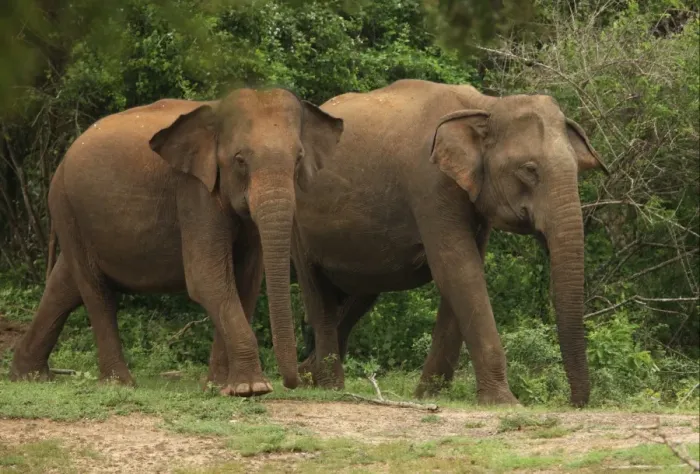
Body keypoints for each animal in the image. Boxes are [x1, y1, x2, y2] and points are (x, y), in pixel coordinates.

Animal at [10, 87, 344, 397]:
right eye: (240, 160)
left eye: (299, 159)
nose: (293, 382)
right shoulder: (194, 190)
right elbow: (206, 278)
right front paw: (252, 388)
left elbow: (245, 282)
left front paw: (221, 387)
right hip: (67, 206)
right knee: (96, 291)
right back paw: (120, 383)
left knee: (64, 286)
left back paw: (28, 376)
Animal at [210, 79, 608, 406]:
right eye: (529, 170)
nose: (575, 403)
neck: (485, 105)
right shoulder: (430, 183)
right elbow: (458, 270)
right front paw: (504, 402)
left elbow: (462, 273)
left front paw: (428, 395)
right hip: (298, 222)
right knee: (317, 290)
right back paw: (330, 386)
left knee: (359, 298)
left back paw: (311, 376)